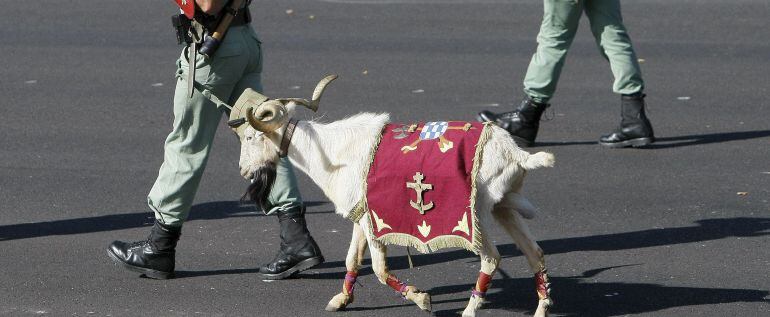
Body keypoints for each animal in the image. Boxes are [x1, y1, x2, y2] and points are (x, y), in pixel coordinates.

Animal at [237, 75, 556, 314]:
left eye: (251, 137)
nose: (242, 170)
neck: (333, 152)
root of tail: (515, 153)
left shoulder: (374, 224)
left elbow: (379, 269)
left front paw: (420, 298)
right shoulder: (362, 216)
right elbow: (352, 260)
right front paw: (340, 300)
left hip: (473, 216)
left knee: (491, 258)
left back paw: (468, 310)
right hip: (503, 208)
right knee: (535, 253)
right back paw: (541, 309)